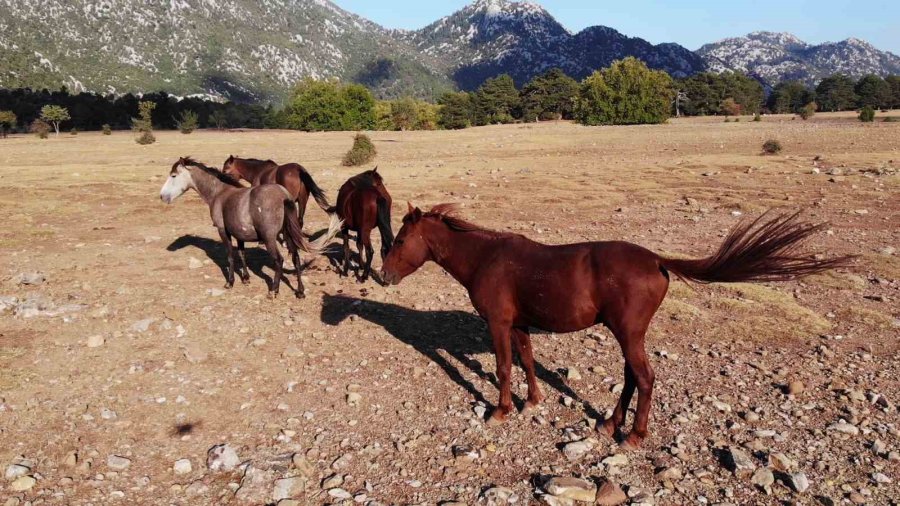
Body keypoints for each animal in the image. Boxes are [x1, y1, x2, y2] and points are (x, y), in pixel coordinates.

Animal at [158, 154, 342, 296]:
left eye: (173, 175)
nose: (162, 196)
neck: (220, 193)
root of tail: (284, 196)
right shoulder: (239, 233)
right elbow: (242, 254)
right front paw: (246, 278)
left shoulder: (223, 231)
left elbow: (230, 256)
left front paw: (230, 282)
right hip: (289, 233)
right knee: (295, 258)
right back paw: (300, 291)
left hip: (270, 238)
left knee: (279, 260)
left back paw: (273, 290)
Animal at [380, 204, 852, 448]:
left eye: (400, 240)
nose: (383, 276)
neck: (488, 258)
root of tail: (657, 260)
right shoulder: (519, 324)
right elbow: (528, 361)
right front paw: (532, 402)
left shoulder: (498, 323)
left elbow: (503, 367)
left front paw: (500, 410)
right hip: (629, 333)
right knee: (630, 376)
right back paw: (610, 423)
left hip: (627, 333)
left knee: (644, 377)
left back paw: (634, 436)